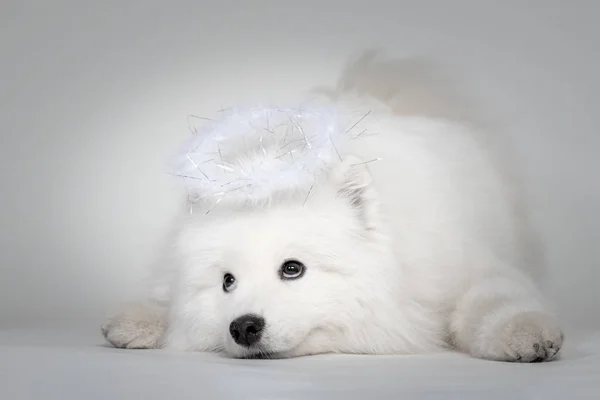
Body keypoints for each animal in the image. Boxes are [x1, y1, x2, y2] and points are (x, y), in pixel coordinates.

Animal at [101, 51, 564, 360]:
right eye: (227, 282)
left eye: (293, 268)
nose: (243, 326)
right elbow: (168, 301)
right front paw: (141, 322)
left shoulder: (468, 265)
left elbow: (494, 300)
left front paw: (528, 335)